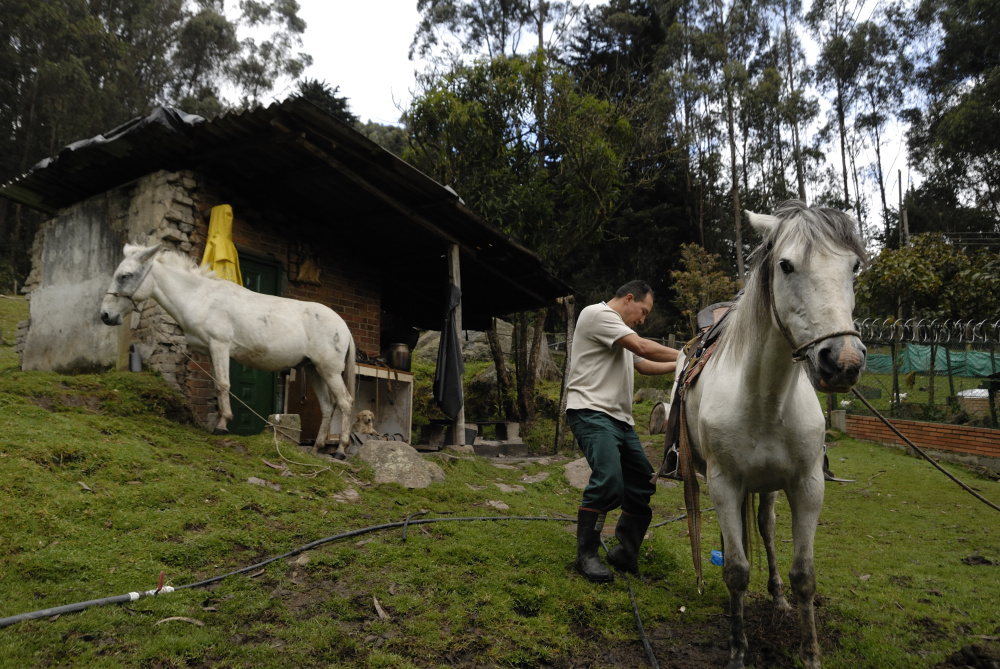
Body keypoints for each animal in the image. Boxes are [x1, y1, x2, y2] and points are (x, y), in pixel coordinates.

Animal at [99, 243, 358, 456]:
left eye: (125, 275)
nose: (105, 315)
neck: (201, 298)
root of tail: (344, 326)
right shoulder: (210, 351)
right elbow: (217, 385)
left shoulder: (220, 345)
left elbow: (223, 385)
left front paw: (222, 426)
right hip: (314, 369)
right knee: (328, 406)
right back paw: (317, 447)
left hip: (329, 370)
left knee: (345, 402)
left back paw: (340, 450)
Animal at [672, 201, 868, 668]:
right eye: (786, 265)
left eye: (853, 266)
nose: (843, 361)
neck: (765, 396)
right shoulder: (724, 484)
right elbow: (736, 571)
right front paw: (737, 649)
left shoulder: (807, 485)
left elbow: (804, 576)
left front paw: (809, 651)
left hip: (770, 487)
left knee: (764, 526)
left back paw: (778, 601)